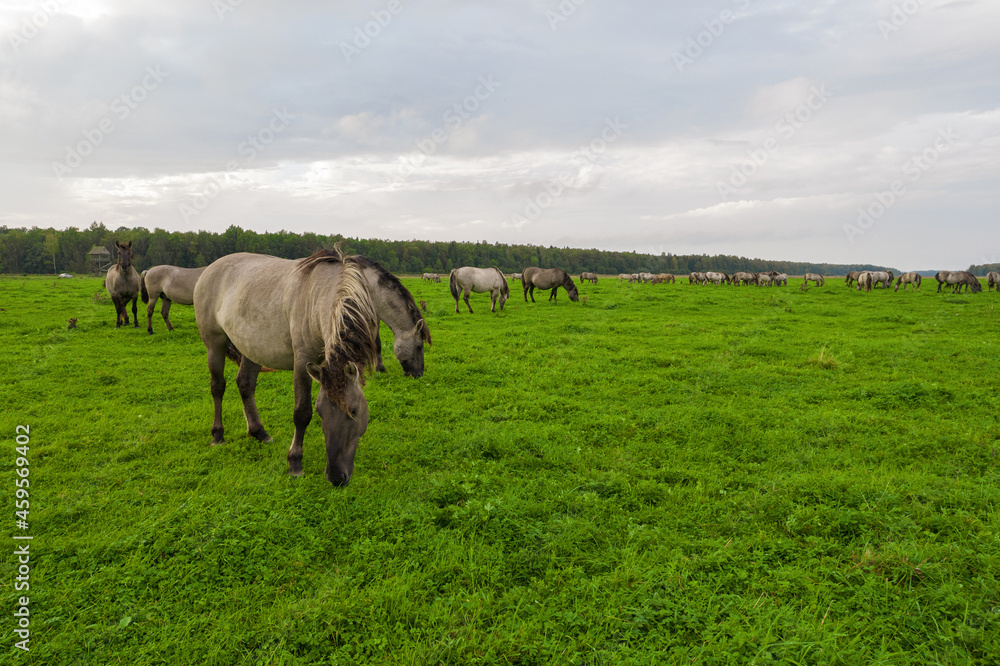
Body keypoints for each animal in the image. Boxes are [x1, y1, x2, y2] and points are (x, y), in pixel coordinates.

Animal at [193, 247, 380, 486]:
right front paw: (295, 462)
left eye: (354, 411)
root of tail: (209, 269)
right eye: (320, 411)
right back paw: (218, 435)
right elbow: (301, 413)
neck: (320, 293)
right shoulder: (302, 361)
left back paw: (259, 432)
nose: (336, 476)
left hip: (252, 349)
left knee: (245, 384)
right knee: (218, 387)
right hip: (214, 344)